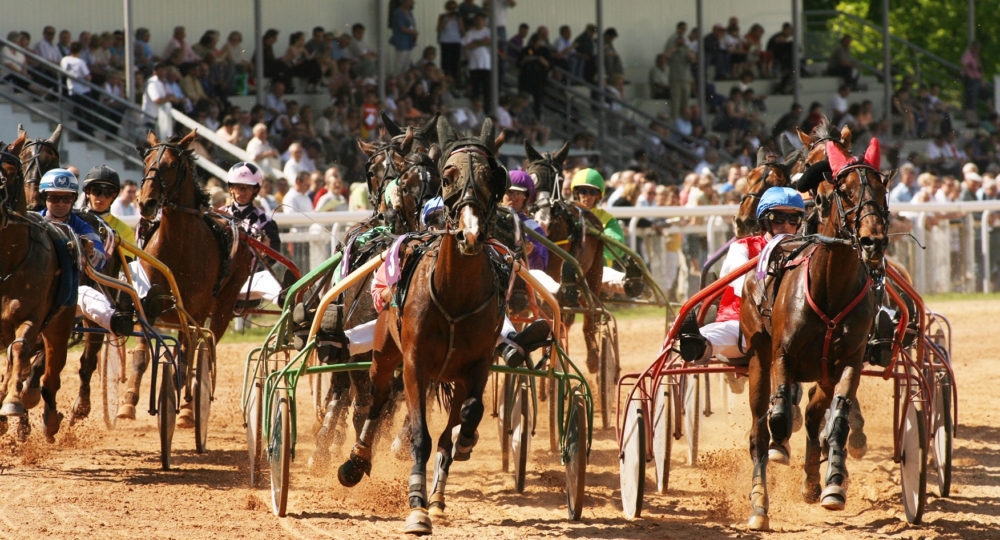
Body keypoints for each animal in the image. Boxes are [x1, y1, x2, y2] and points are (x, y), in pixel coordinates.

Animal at [0, 135, 77, 442]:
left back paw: (47, 416)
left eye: (11, 172)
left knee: (50, 375)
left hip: (60, 325)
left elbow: (21, 350)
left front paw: (13, 403)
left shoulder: (32, 318)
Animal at [121, 131, 256, 426]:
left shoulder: (195, 309)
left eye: (172, 164)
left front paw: (183, 406)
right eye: (146, 160)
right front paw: (127, 403)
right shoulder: (148, 304)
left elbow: (189, 354)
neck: (178, 247)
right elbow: (142, 355)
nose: (146, 203)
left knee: (205, 346)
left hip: (223, 305)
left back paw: (188, 405)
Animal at [338, 118, 508, 536]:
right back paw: (357, 460)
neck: (454, 293)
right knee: (375, 401)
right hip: (384, 354)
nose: (470, 233)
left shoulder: (476, 366)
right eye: (448, 177)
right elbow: (420, 437)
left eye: (492, 177)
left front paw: (462, 447)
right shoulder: (415, 364)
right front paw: (417, 508)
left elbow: (466, 417)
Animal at [520, 141, 604, 374]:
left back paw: (593, 360)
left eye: (559, 179)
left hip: (594, 272)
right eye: (532, 177)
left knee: (589, 317)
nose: (544, 217)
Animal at [740, 121, 888, 528]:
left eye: (881, 189)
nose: (873, 241)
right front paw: (780, 447)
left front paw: (833, 482)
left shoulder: (849, 361)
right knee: (760, 429)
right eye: (845, 190)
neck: (830, 287)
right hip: (758, 358)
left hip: (823, 374)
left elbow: (836, 422)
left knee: (814, 415)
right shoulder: (782, 356)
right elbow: (777, 418)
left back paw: (813, 476)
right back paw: (759, 504)